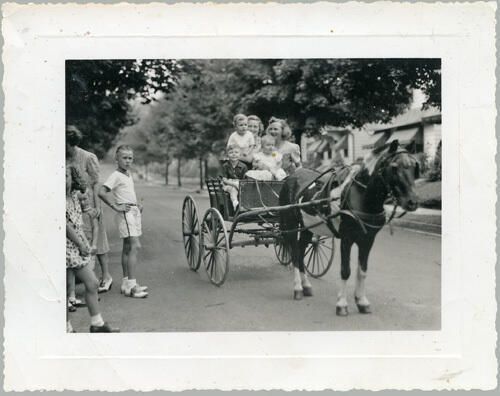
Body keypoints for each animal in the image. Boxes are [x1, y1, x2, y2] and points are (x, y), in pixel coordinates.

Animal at [280, 141, 420, 318]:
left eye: (414, 166)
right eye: (394, 167)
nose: (412, 202)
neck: (362, 196)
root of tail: (291, 176)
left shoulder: (368, 240)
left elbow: (362, 271)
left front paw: (362, 301)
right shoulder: (346, 239)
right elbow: (345, 271)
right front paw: (342, 304)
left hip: (307, 227)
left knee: (299, 252)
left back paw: (306, 286)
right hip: (291, 224)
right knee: (293, 253)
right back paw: (297, 287)